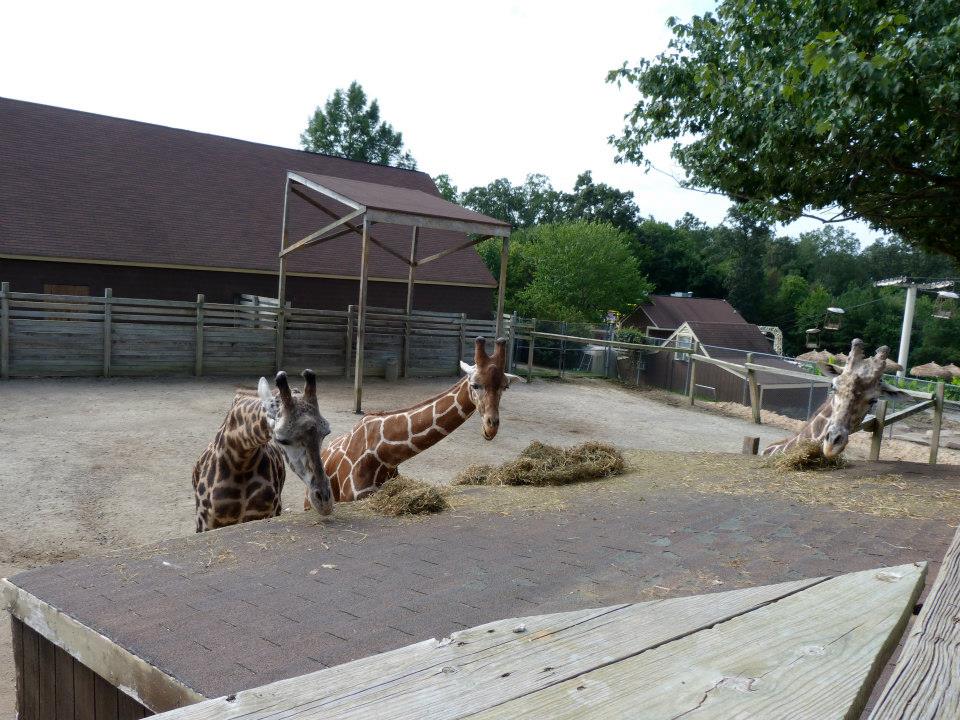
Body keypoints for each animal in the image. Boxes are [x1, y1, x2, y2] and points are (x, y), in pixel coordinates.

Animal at [193, 369, 333, 532]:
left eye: (326, 433)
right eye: (281, 439)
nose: (325, 502)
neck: (241, 462)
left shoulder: (266, 513)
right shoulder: (205, 522)